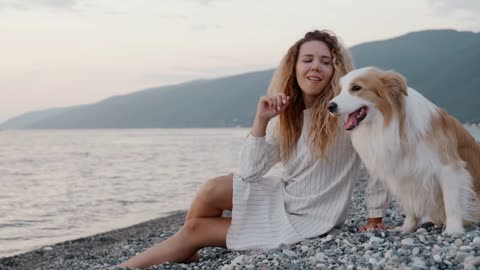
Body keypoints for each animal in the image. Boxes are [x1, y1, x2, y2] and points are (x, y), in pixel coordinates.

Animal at [328, 67, 478, 234]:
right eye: (341, 89)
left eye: (356, 88)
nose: (330, 106)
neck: (390, 123)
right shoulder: (402, 174)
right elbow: (409, 205)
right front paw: (407, 228)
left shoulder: (448, 167)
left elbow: (451, 203)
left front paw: (453, 229)